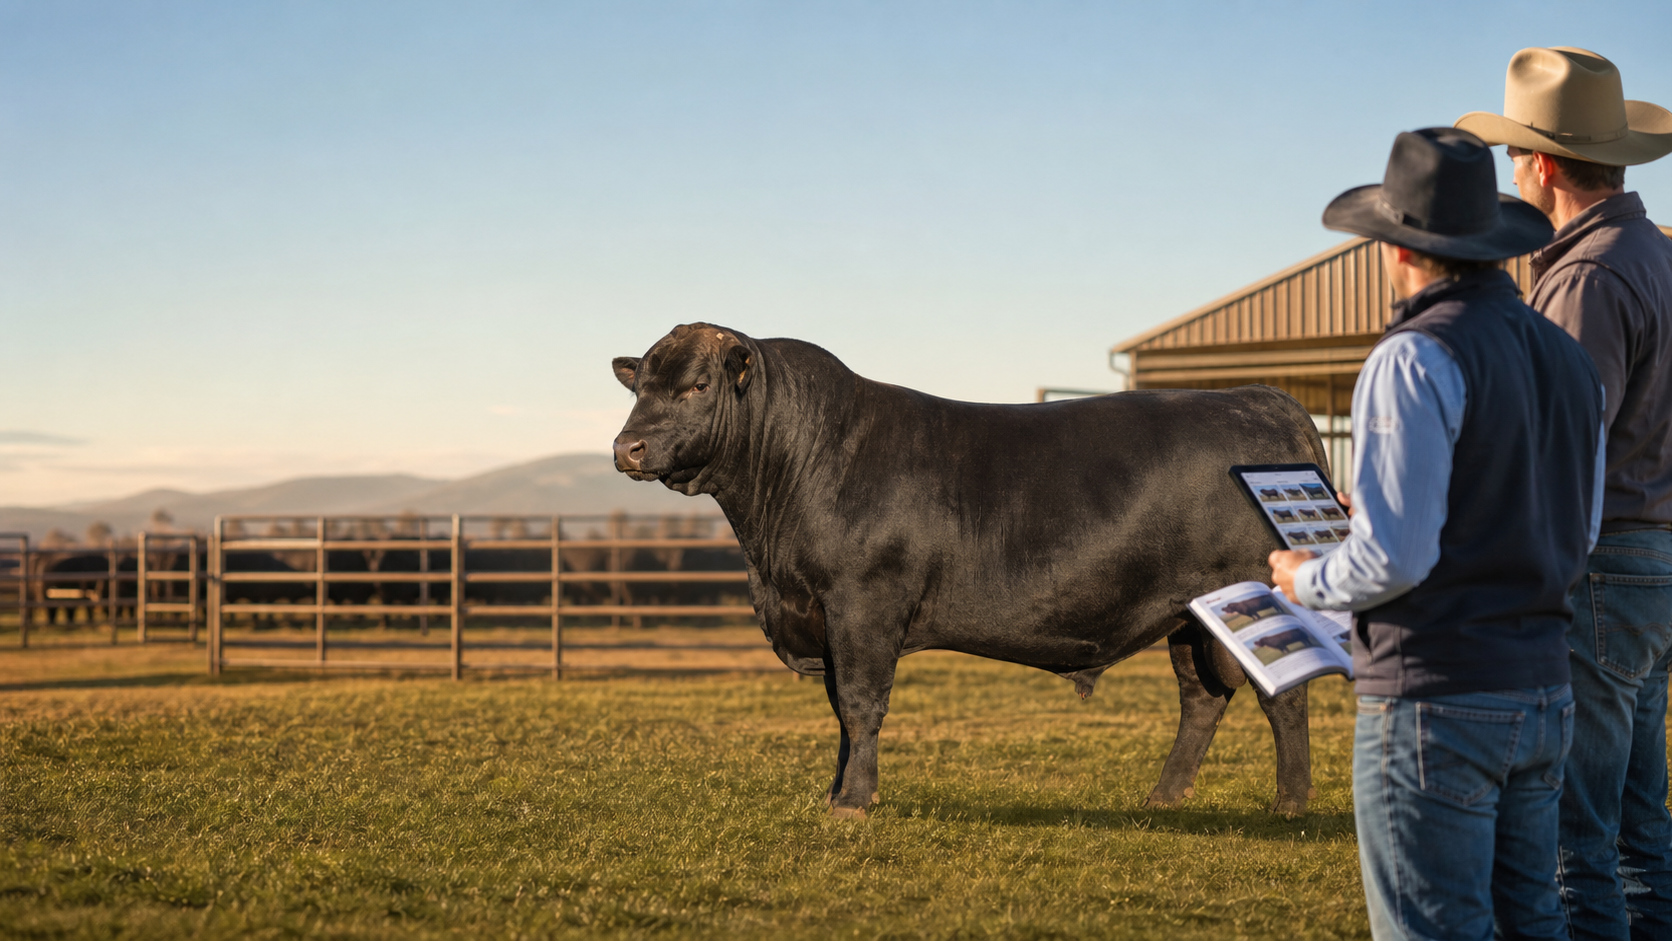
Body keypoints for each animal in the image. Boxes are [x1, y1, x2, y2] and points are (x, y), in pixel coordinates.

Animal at [611, 323, 1328, 818]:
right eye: (639, 385)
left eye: (698, 385)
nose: (626, 447)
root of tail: (1264, 397)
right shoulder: (826, 617)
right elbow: (840, 711)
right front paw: (835, 792)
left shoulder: (863, 603)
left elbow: (861, 704)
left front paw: (855, 802)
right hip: (1189, 613)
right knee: (1202, 697)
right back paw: (1162, 798)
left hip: (1255, 595)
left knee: (1283, 694)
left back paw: (1289, 805)